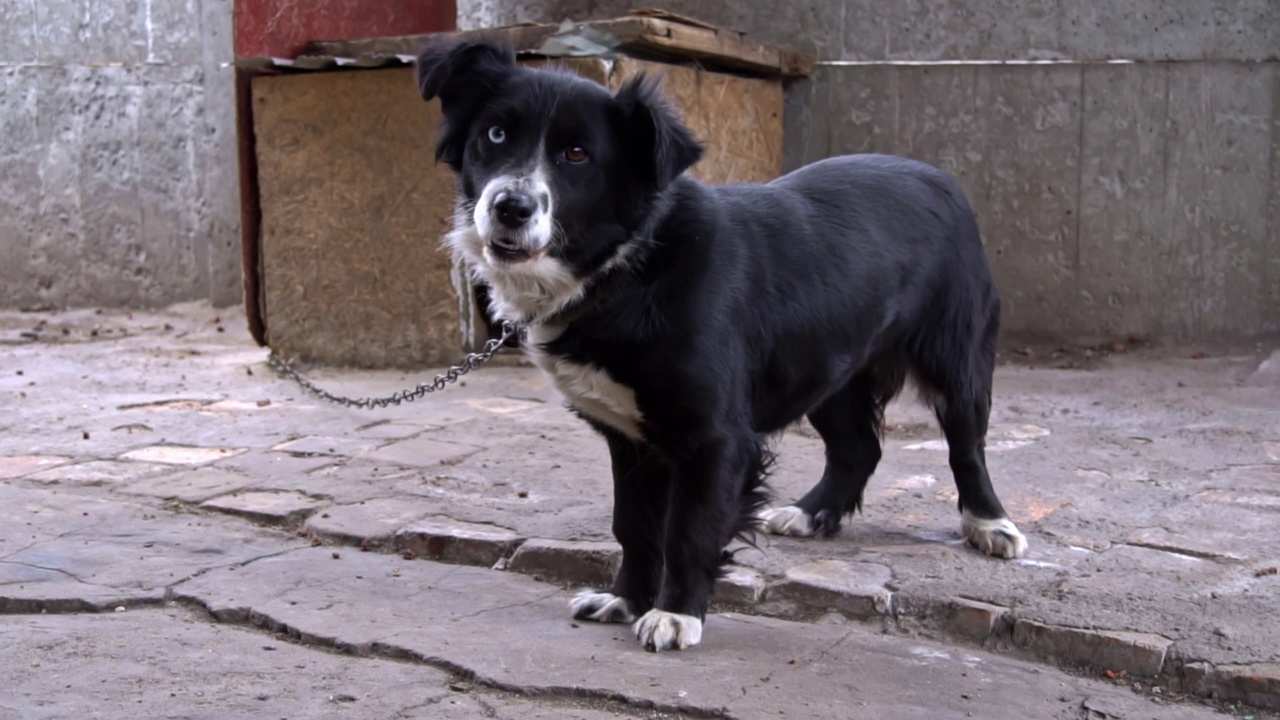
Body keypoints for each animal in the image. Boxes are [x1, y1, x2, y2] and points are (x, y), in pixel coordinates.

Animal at [419, 35, 1029, 650]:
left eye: (577, 154)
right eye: (496, 135)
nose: (510, 207)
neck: (627, 270)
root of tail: (939, 177)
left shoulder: (715, 437)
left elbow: (688, 530)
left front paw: (675, 615)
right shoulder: (629, 437)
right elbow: (633, 525)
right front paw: (625, 599)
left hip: (956, 355)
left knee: (966, 446)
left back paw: (990, 524)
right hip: (828, 366)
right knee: (858, 447)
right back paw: (812, 513)